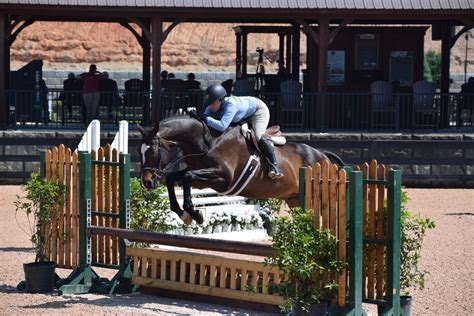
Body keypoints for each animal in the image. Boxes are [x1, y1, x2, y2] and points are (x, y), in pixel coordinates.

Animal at [139, 116, 342, 225]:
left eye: (153, 151)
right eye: (139, 151)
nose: (146, 182)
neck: (206, 142)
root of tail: (322, 156)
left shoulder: (223, 180)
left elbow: (187, 176)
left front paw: (195, 214)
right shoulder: (201, 180)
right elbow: (173, 178)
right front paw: (183, 214)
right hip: (295, 199)